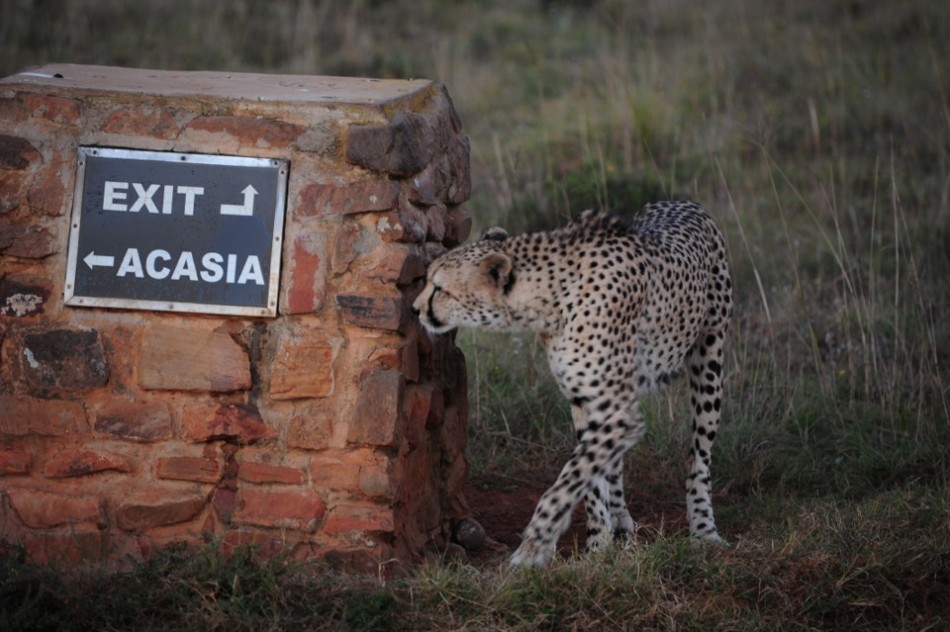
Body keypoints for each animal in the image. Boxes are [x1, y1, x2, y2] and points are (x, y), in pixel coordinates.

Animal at [411, 200, 733, 568]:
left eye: (440, 288)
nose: (415, 309)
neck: (551, 300)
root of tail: (681, 202)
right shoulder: (583, 399)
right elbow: (590, 476)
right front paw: (598, 542)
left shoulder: (617, 410)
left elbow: (570, 478)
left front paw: (533, 548)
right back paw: (621, 519)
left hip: (709, 357)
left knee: (699, 455)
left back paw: (704, 530)